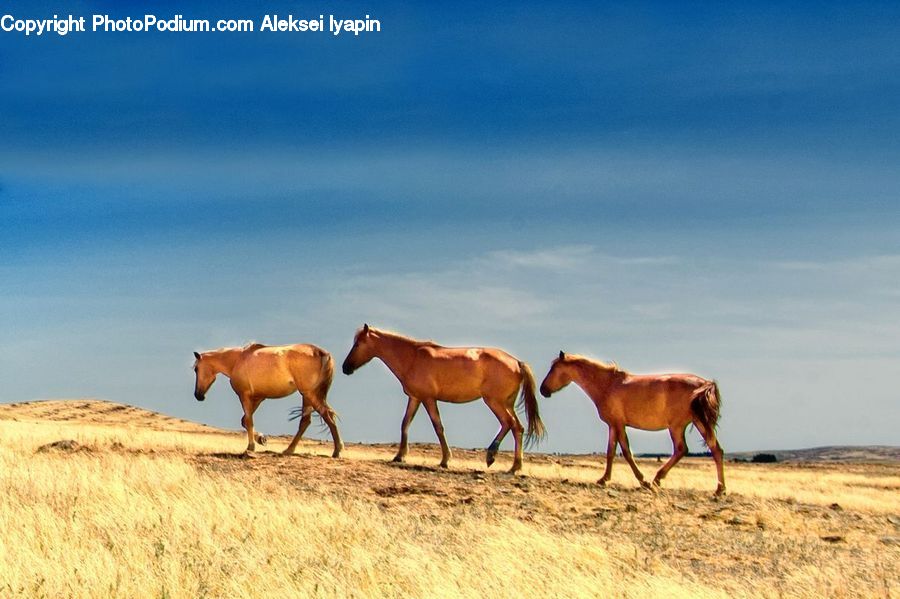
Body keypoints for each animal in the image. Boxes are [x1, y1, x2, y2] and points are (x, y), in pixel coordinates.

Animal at [193, 343, 343, 457]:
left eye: (196, 369)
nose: (198, 395)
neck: (237, 360)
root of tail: (321, 353)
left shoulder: (244, 396)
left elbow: (248, 420)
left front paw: (251, 446)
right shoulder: (259, 398)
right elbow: (244, 421)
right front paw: (261, 439)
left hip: (310, 394)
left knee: (327, 415)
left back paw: (337, 451)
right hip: (307, 396)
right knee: (306, 421)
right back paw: (289, 450)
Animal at [341, 324, 545, 473]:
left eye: (357, 344)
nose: (345, 368)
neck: (412, 357)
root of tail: (516, 363)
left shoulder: (429, 399)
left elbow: (438, 426)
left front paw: (445, 460)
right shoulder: (415, 398)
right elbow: (405, 423)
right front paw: (400, 456)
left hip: (494, 402)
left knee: (508, 423)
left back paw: (493, 457)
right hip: (506, 403)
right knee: (517, 427)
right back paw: (514, 466)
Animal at [540, 351, 725, 495]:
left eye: (553, 369)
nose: (543, 390)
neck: (607, 385)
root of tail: (704, 384)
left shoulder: (618, 425)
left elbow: (626, 453)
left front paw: (643, 481)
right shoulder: (613, 425)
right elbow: (610, 452)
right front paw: (603, 479)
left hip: (677, 426)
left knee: (681, 449)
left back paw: (657, 479)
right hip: (699, 423)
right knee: (715, 449)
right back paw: (719, 489)